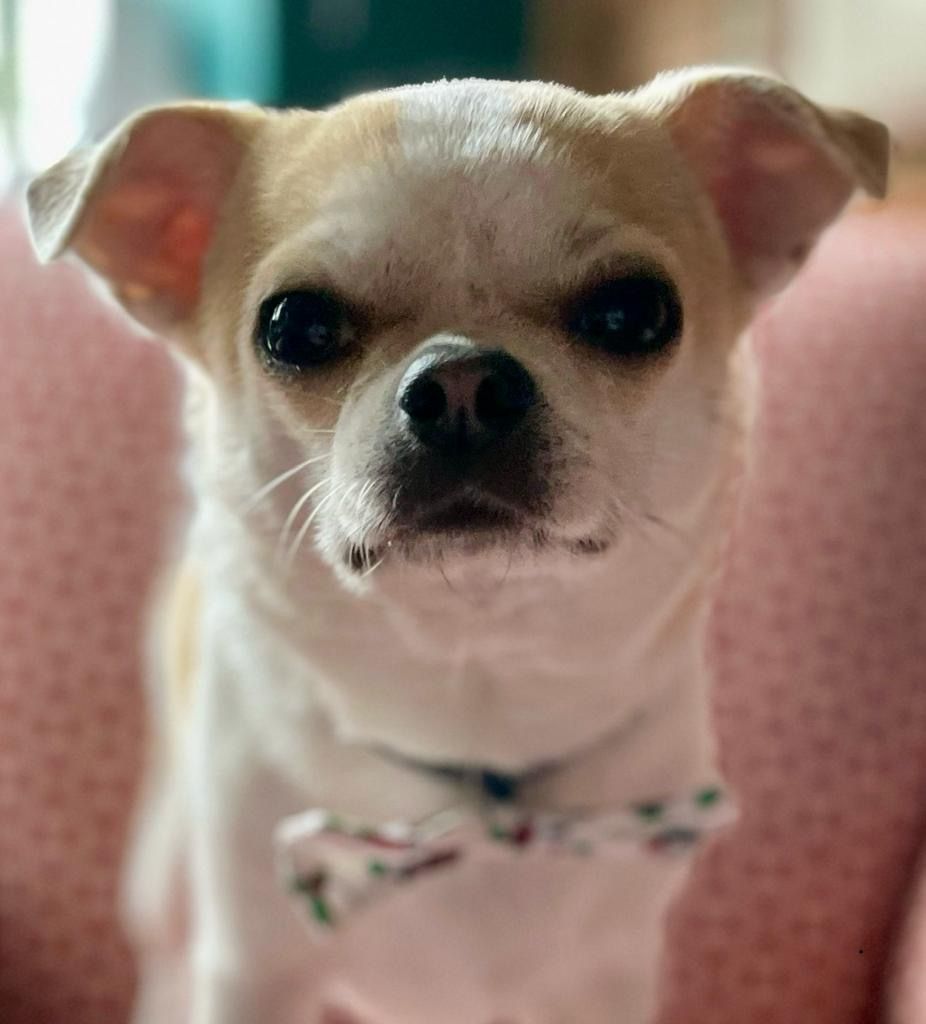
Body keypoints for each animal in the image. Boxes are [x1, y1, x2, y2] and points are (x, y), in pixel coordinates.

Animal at [25, 68, 885, 1019]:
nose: (463, 381)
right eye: (295, 328)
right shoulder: (253, 972)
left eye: (633, 313)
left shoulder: (609, 975)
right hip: (165, 860)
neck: (474, 745)